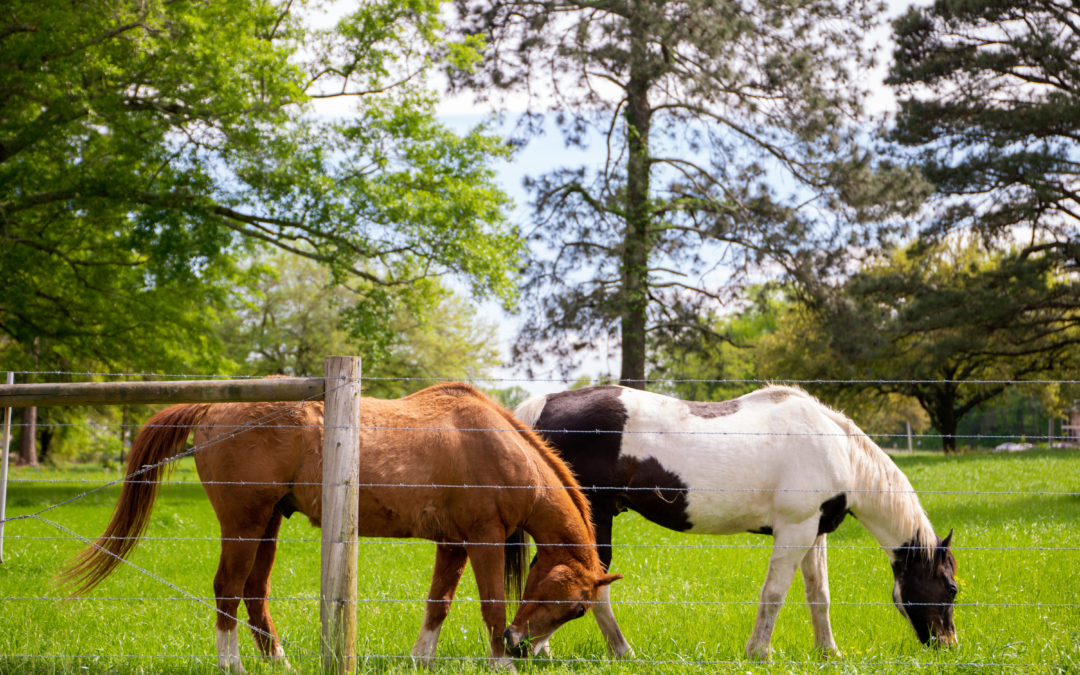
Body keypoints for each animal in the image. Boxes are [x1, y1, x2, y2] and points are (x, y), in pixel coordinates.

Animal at [61, 382, 617, 669]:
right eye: (574, 607)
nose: (523, 645)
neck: (494, 446)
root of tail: (213, 407)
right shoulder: (483, 539)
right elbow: (492, 605)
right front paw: (500, 660)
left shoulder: (453, 543)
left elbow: (438, 603)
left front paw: (421, 659)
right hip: (243, 522)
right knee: (226, 590)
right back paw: (231, 663)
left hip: (268, 525)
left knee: (254, 593)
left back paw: (279, 662)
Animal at [516, 384, 963, 656]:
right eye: (952, 588)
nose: (948, 645)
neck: (836, 449)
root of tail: (544, 405)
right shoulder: (794, 530)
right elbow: (774, 595)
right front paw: (759, 653)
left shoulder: (813, 532)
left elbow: (818, 595)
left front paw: (829, 652)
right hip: (594, 518)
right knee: (589, 584)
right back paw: (617, 651)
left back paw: (542, 648)